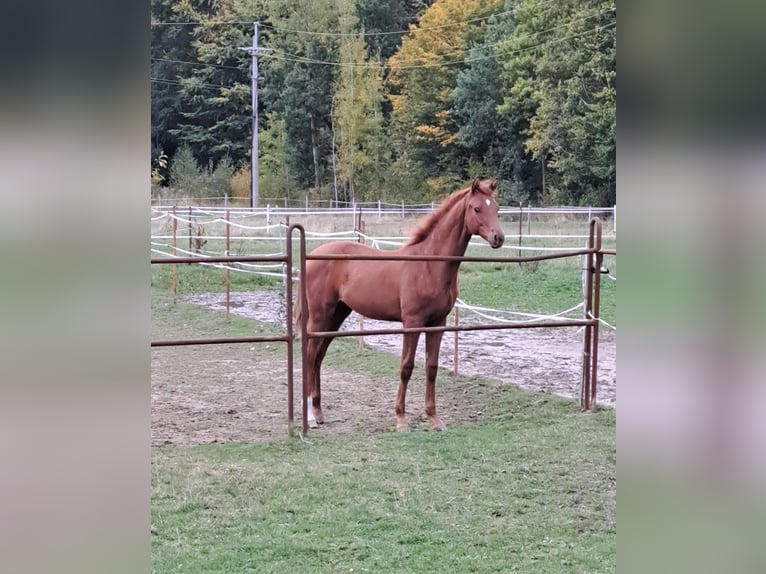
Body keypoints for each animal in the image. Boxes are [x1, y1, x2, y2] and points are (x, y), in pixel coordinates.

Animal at [294, 180, 504, 432]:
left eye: (497, 208)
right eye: (477, 209)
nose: (498, 238)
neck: (429, 265)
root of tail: (312, 255)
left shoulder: (438, 323)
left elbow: (431, 368)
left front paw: (434, 418)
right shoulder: (412, 323)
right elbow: (406, 368)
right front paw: (401, 419)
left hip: (336, 316)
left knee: (318, 357)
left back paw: (318, 412)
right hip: (320, 316)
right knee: (309, 356)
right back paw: (310, 417)